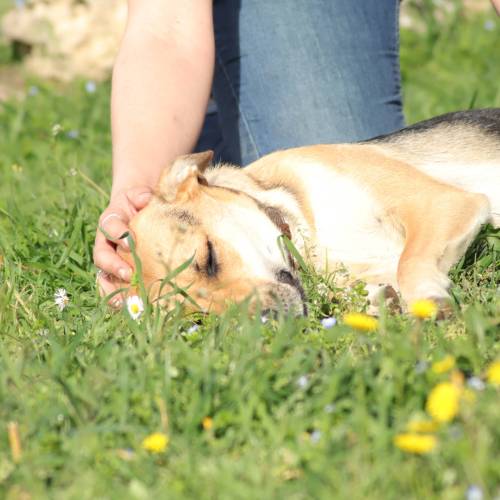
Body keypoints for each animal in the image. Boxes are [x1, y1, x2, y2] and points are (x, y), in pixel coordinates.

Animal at [118, 108, 500, 316]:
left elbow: (411, 263)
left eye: (208, 258)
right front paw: (379, 301)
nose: (266, 323)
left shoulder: (441, 201)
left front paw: (428, 299)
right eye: (198, 316)